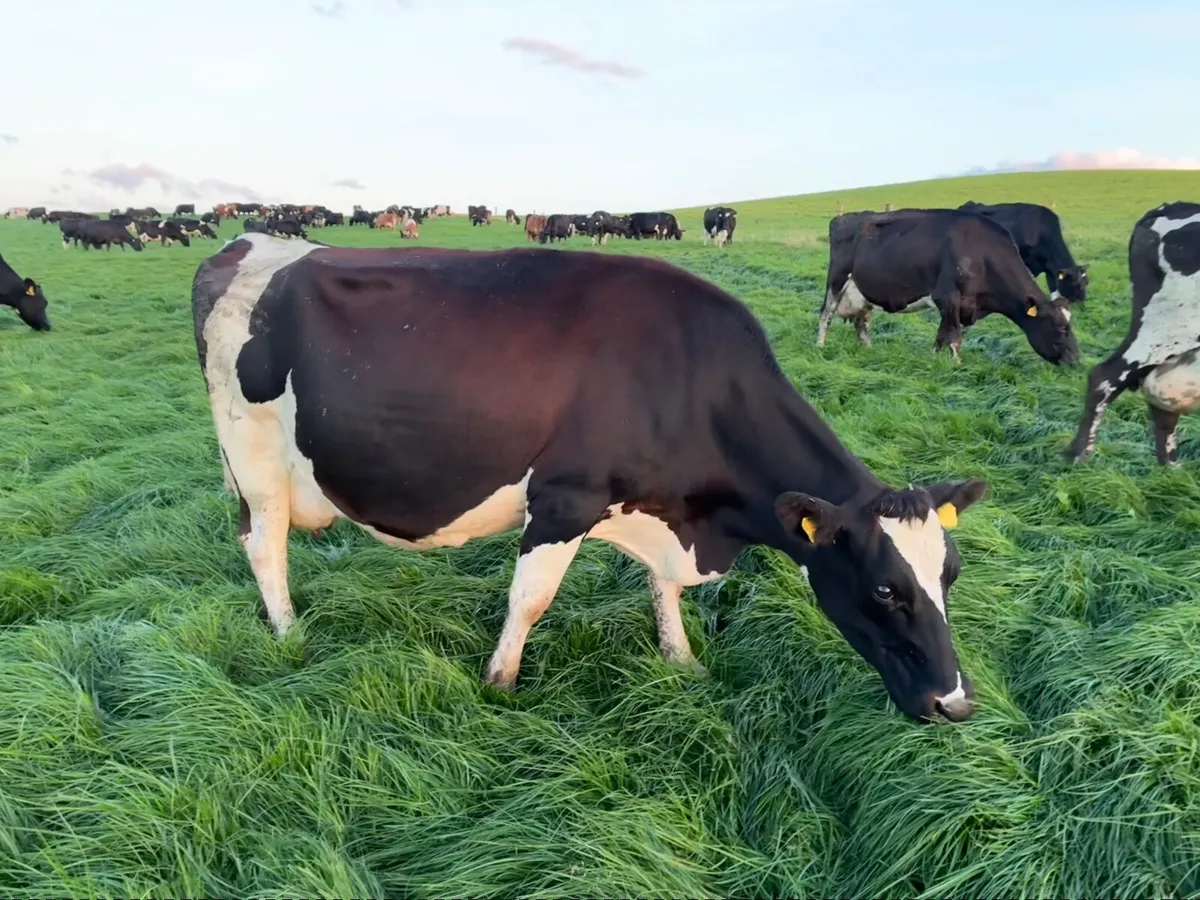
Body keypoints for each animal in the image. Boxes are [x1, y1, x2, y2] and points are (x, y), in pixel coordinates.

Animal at [191, 234, 989, 722]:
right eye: (884, 589)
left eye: (949, 574)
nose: (955, 703)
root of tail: (247, 244)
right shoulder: (562, 501)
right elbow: (530, 600)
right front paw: (500, 684)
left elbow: (663, 591)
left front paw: (681, 658)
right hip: (256, 462)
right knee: (265, 547)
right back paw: (289, 634)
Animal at [816, 208, 1079, 365]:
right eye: (1061, 328)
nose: (1076, 361)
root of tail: (844, 217)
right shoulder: (947, 296)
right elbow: (953, 337)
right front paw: (956, 366)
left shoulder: (957, 305)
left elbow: (941, 336)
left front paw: (935, 361)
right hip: (836, 280)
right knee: (825, 315)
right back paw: (819, 346)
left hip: (863, 291)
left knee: (862, 323)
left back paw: (869, 351)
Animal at [958, 201, 1089, 303]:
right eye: (1076, 285)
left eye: (1086, 282)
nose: (1082, 303)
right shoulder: (1026, 261)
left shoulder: (1049, 267)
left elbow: (1053, 289)